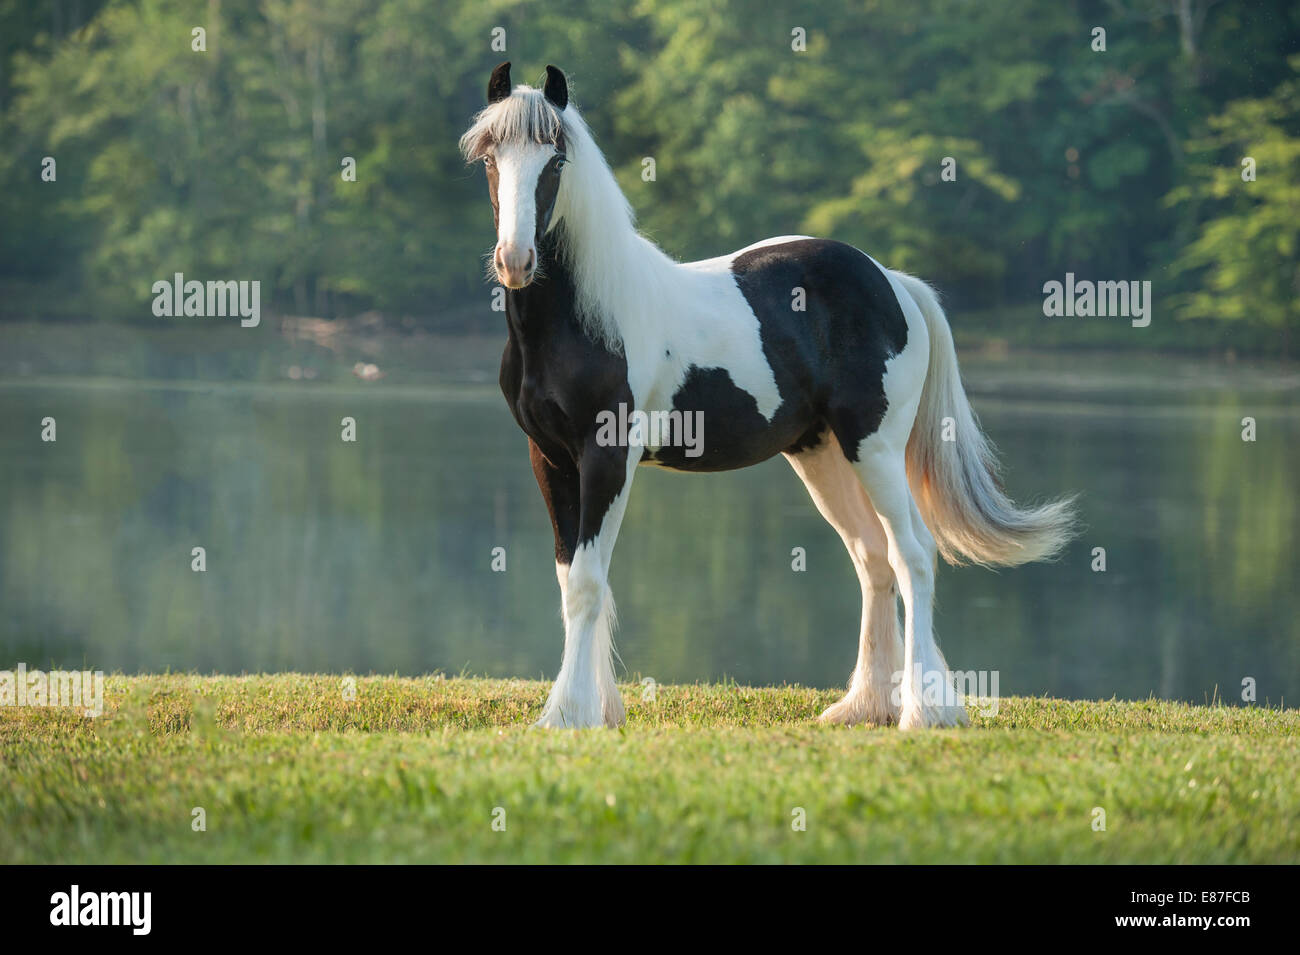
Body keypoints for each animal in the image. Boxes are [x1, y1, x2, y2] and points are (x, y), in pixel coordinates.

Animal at [457, 61, 1076, 732]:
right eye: (490, 158)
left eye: (556, 160)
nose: (516, 260)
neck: (591, 316)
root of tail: (895, 282)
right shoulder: (549, 458)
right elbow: (571, 575)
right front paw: (597, 709)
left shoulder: (608, 457)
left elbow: (588, 585)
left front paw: (568, 715)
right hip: (822, 454)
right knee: (873, 559)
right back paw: (865, 706)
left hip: (875, 449)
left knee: (912, 555)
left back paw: (921, 712)